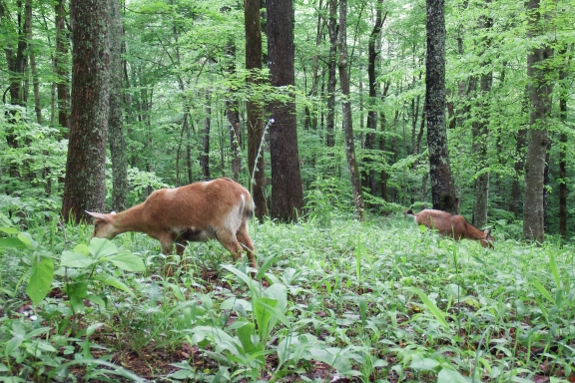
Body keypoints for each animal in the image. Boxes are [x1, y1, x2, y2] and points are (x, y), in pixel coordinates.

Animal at [86, 178, 258, 268]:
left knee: (237, 250)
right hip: (241, 225)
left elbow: (166, 259)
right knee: (250, 247)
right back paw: (253, 273)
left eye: (96, 225)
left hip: (224, 227)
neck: (144, 215)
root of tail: (244, 194)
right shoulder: (180, 237)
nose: (90, 242)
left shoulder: (165, 234)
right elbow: (180, 258)